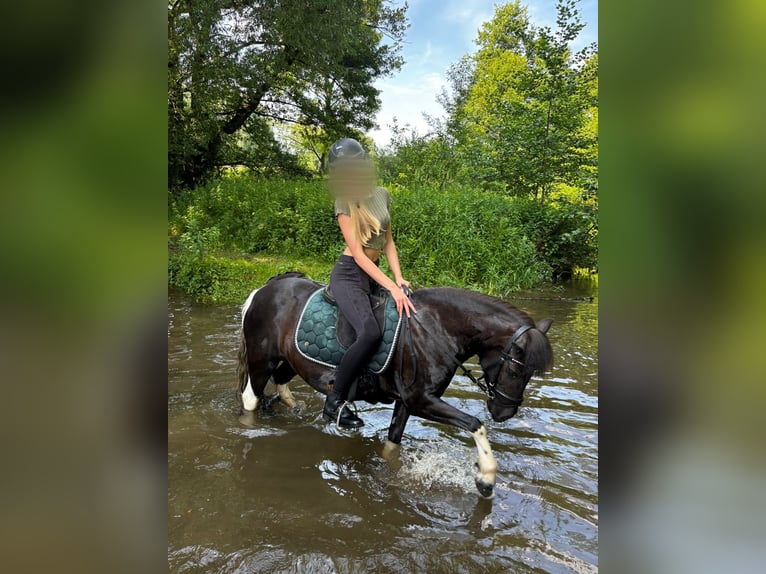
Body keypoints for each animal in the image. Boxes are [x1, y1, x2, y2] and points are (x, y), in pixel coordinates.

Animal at [236, 272, 553, 498]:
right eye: (516, 369)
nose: (505, 413)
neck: (437, 328)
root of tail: (263, 290)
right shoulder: (420, 400)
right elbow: (475, 424)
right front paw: (486, 478)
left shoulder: (406, 402)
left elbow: (392, 445)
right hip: (261, 359)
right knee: (251, 399)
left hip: (291, 361)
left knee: (280, 383)